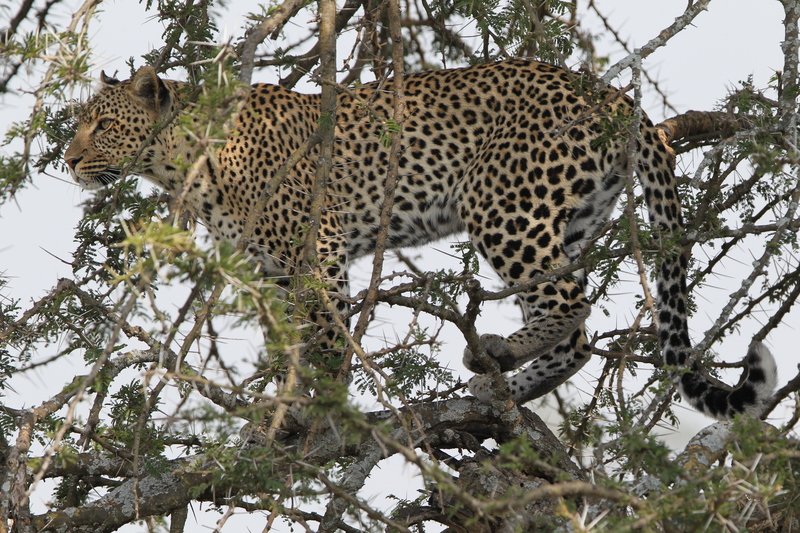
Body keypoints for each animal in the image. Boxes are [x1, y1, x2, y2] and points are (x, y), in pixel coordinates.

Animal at [64, 60, 777, 419]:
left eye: (101, 126)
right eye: (81, 124)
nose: (66, 161)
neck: (185, 164)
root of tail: (614, 96)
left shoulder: (316, 247)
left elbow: (325, 334)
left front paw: (321, 407)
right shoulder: (271, 269)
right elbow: (288, 339)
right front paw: (289, 406)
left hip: (503, 205)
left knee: (573, 302)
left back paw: (493, 354)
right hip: (568, 216)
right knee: (575, 333)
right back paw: (504, 386)